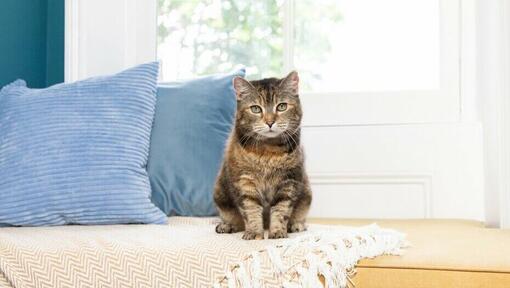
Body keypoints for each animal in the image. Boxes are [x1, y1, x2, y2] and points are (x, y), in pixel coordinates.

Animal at [213, 71, 312, 240]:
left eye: (282, 106)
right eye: (255, 109)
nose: (270, 122)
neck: (268, 151)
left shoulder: (289, 182)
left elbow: (281, 210)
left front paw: (278, 232)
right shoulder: (245, 182)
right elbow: (251, 210)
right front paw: (254, 233)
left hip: (306, 194)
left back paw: (296, 225)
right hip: (220, 194)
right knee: (234, 219)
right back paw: (227, 225)